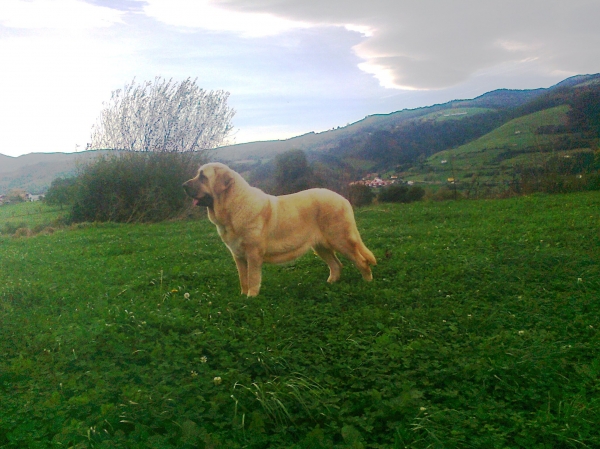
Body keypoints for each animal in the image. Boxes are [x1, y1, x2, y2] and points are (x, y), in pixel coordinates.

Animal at [185, 163, 378, 296]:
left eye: (202, 177)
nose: (183, 185)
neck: (232, 206)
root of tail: (343, 199)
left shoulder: (253, 254)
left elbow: (252, 278)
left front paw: (251, 298)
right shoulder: (238, 256)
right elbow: (243, 279)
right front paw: (242, 296)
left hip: (340, 239)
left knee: (361, 261)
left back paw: (367, 283)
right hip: (320, 246)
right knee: (336, 265)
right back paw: (330, 284)